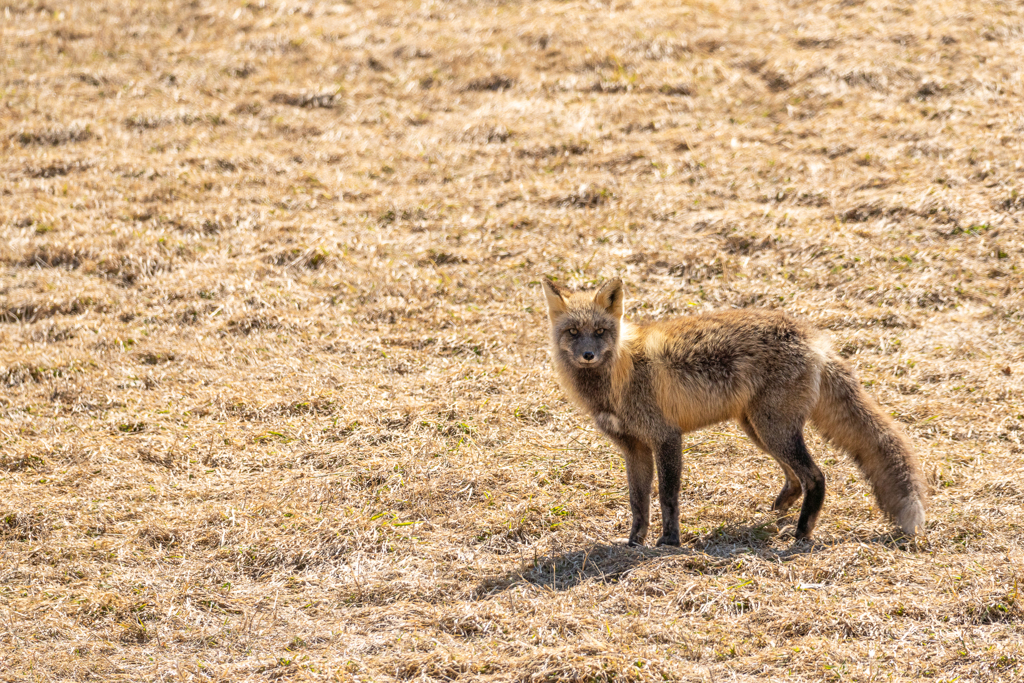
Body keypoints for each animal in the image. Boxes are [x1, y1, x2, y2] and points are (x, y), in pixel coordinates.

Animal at [544, 274, 929, 548]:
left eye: (600, 331)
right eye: (573, 331)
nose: (588, 355)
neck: (617, 378)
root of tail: (812, 338)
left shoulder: (666, 437)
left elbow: (668, 496)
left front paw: (669, 542)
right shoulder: (634, 447)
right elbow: (638, 502)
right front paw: (634, 542)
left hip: (772, 428)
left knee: (816, 476)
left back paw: (802, 533)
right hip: (758, 429)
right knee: (794, 477)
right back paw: (778, 514)